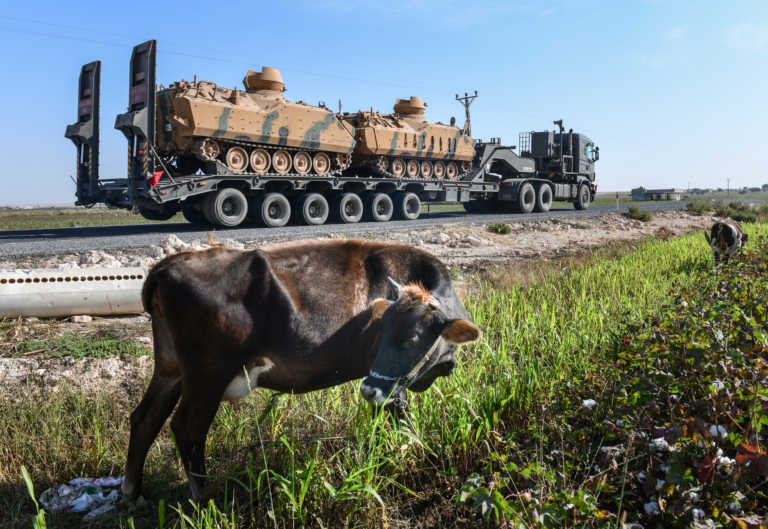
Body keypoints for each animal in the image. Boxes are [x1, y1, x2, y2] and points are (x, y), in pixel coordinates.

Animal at [122, 239, 476, 500]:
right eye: (382, 328)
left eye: (412, 337)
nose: (366, 388)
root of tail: (168, 266)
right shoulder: (388, 382)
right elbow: (401, 418)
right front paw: (414, 452)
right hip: (207, 374)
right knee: (186, 427)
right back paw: (205, 500)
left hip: (170, 368)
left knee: (144, 418)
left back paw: (132, 492)